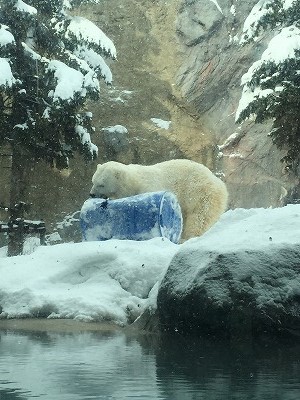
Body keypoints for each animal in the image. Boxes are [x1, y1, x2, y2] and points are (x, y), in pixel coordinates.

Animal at [90, 159, 229, 241]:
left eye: (101, 184)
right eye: (93, 181)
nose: (91, 194)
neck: (132, 182)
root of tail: (219, 183)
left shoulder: (149, 187)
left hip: (199, 192)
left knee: (199, 217)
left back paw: (187, 237)